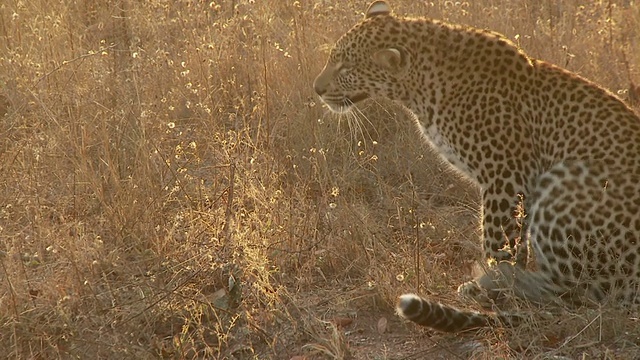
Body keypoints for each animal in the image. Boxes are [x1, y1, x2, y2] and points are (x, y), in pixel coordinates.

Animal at [312, 0, 640, 334]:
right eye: (331, 60)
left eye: (346, 69)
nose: (317, 89)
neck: (420, 87)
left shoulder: (504, 176)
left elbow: (498, 242)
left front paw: (494, 285)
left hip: (565, 183)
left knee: (575, 292)